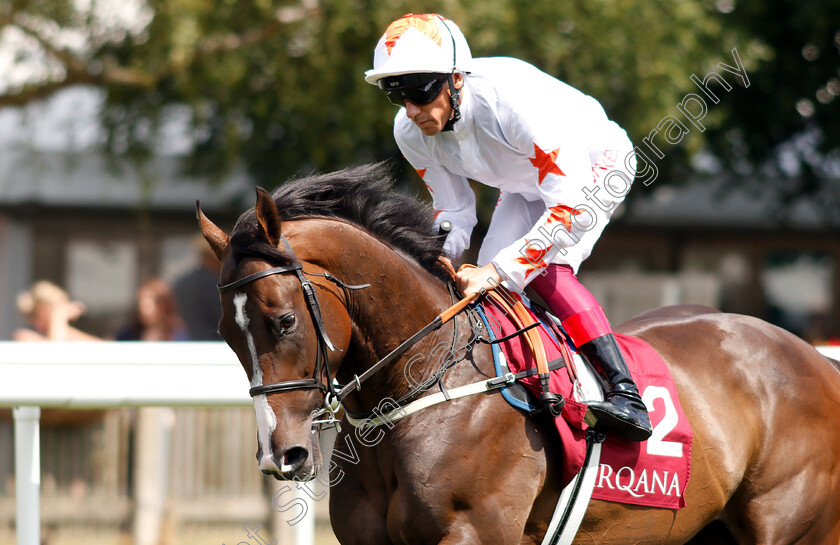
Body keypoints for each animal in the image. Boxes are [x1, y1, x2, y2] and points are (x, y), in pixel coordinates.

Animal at [199, 163, 840, 544]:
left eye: (282, 321)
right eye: (226, 334)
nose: (280, 455)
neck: (430, 382)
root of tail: (818, 360)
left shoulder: (475, 533)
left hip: (792, 524)